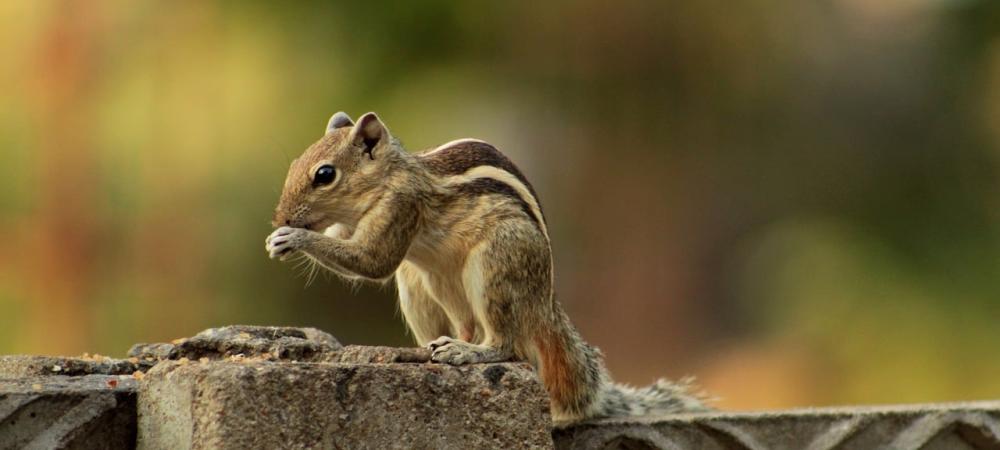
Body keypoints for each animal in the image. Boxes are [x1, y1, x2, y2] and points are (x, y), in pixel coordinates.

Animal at [264, 111, 709, 422]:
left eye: (325, 174)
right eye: (293, 166)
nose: (279, 217)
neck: (388, 176)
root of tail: (545, 303)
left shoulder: (402, 205)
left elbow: (373, 261)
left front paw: (292, 238)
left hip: (495, 266)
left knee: (504, 345)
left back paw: (468, 352)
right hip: (424, 285)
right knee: (464, 325)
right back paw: (433, 349)